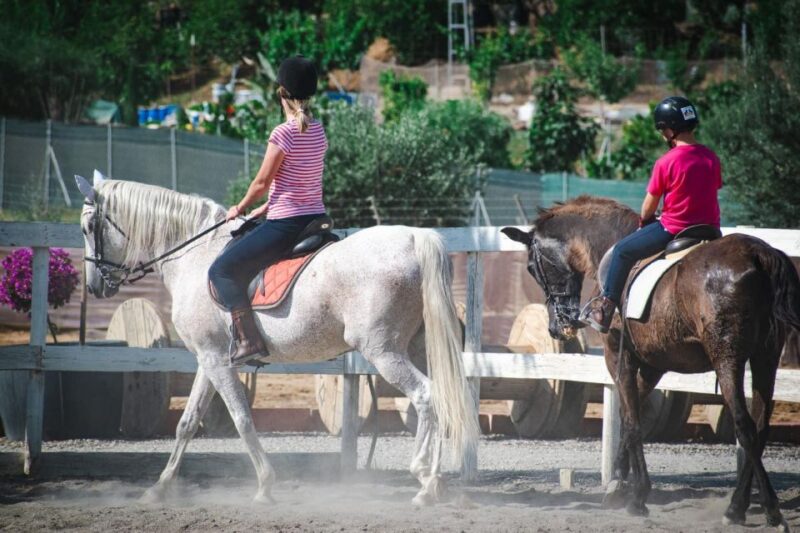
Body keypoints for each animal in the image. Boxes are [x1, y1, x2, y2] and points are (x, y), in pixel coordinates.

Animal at [75, 172, 479, 505]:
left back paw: (425, 481)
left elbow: (241, 420)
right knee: (442, 397)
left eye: (89, 226)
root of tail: (414, 236)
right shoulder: (209, 358)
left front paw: (265, 486)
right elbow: (187, 423)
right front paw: (159, 488)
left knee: (426, 396)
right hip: (417, 347)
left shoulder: (216, 360)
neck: (193, 255)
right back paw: (433, 481)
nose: (95, 285)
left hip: (384, 351)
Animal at [502, 196, 800, 529]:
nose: (557, 327)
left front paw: (637, 497)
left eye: (532, 267)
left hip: (728, 359)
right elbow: (630, 415)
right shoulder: (653, 366)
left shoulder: (618, 357)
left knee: (745, 426)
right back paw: (750, 505)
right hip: (765, 359)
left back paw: (752, 509)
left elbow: (632, 421)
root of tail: (759, 254)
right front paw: (617, 487)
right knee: (760, 427)